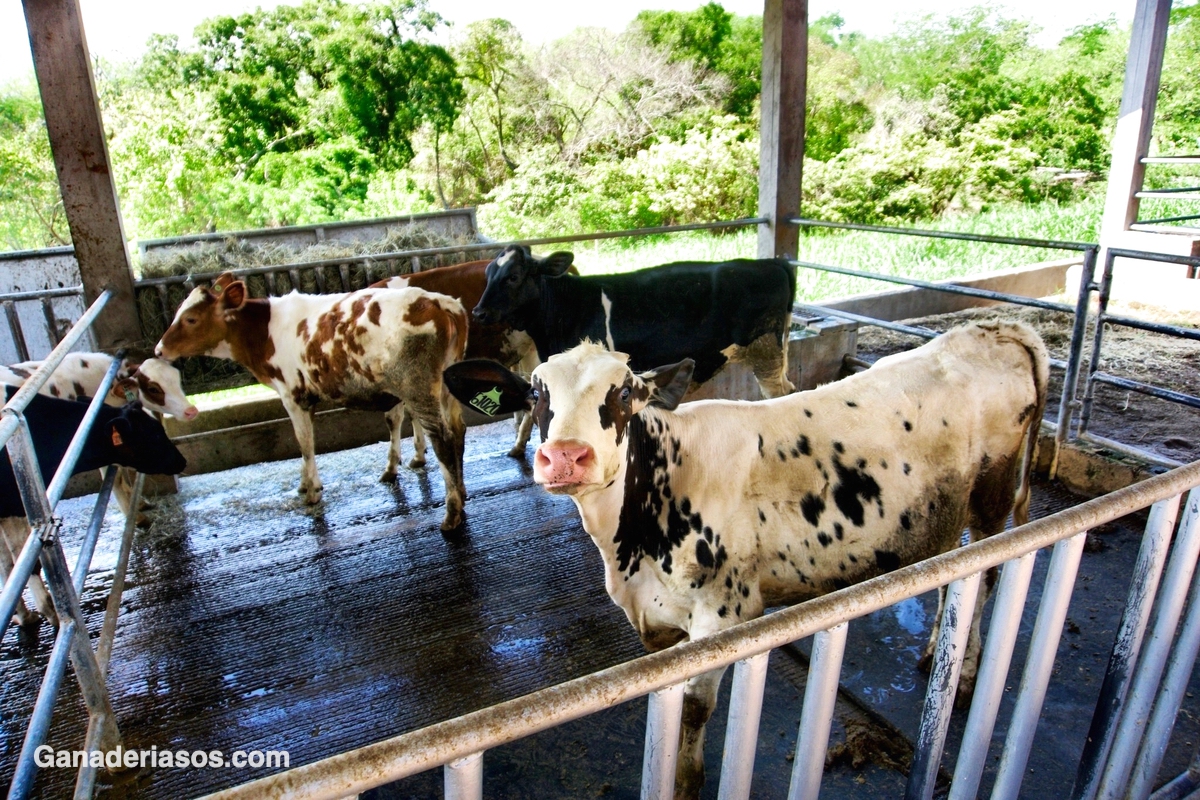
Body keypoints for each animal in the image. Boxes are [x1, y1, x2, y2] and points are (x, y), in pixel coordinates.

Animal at [158, 271, 472, 532]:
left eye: (190, 319)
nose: (159, 350)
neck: (264, 331)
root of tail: (440, 303)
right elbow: (305, 442)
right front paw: (303, 483)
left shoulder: (292, 395)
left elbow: (304, 442)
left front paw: (312, 492)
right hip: (446, 384)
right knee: (458, 430)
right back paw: (461, 493)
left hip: (417, 386)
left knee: (442, 438)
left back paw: (451, 513)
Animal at [444, 321, 1051, 796]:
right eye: (534, 396)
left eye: (624, 395)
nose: (566, 457)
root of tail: (997, 328)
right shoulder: (660, 623)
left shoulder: (721, 615)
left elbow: (693, 712)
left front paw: (685, 782)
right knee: (955, 575)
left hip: (994, 496)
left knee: (988, 572)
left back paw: (964, 674)